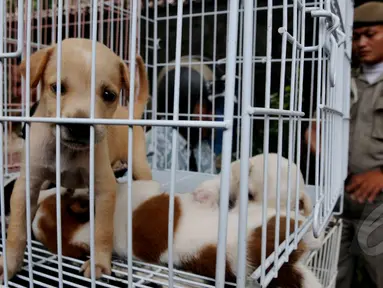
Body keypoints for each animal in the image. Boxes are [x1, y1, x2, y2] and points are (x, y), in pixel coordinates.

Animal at [0, 37, 153, 282]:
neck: (67, 151)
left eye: (108, 95)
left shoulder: (104, 189)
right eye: (57, 88)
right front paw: (9, 264)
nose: (80, 127)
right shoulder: (27, 186)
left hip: (138, 163)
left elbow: (102, 230)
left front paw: (99, 262)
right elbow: (16, 231)